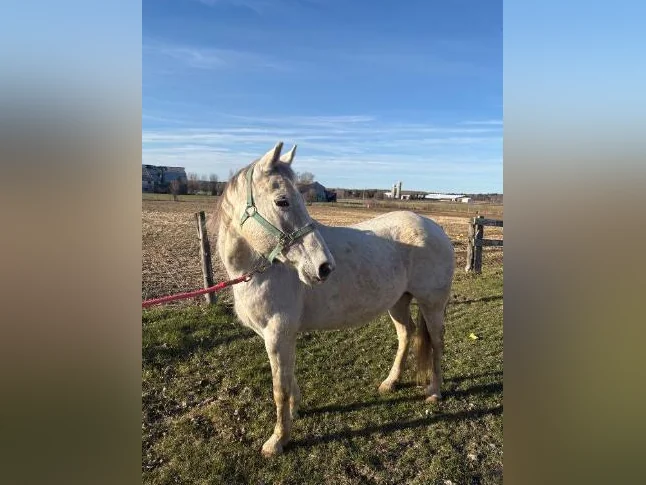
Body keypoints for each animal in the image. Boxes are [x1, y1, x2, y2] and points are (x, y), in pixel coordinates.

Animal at [212, 142, 455, 457]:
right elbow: (288, 379)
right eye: (282, 201)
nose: (324, 267)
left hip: (432, 304)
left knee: (436, 342)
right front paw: (295, 411)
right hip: (398, 302)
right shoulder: (278, 336)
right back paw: (390, 383)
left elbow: (279, 388)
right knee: (406, 334)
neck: (263, 270)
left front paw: (277, 440)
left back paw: (434, 391)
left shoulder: (278, 334)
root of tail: (435, 228)